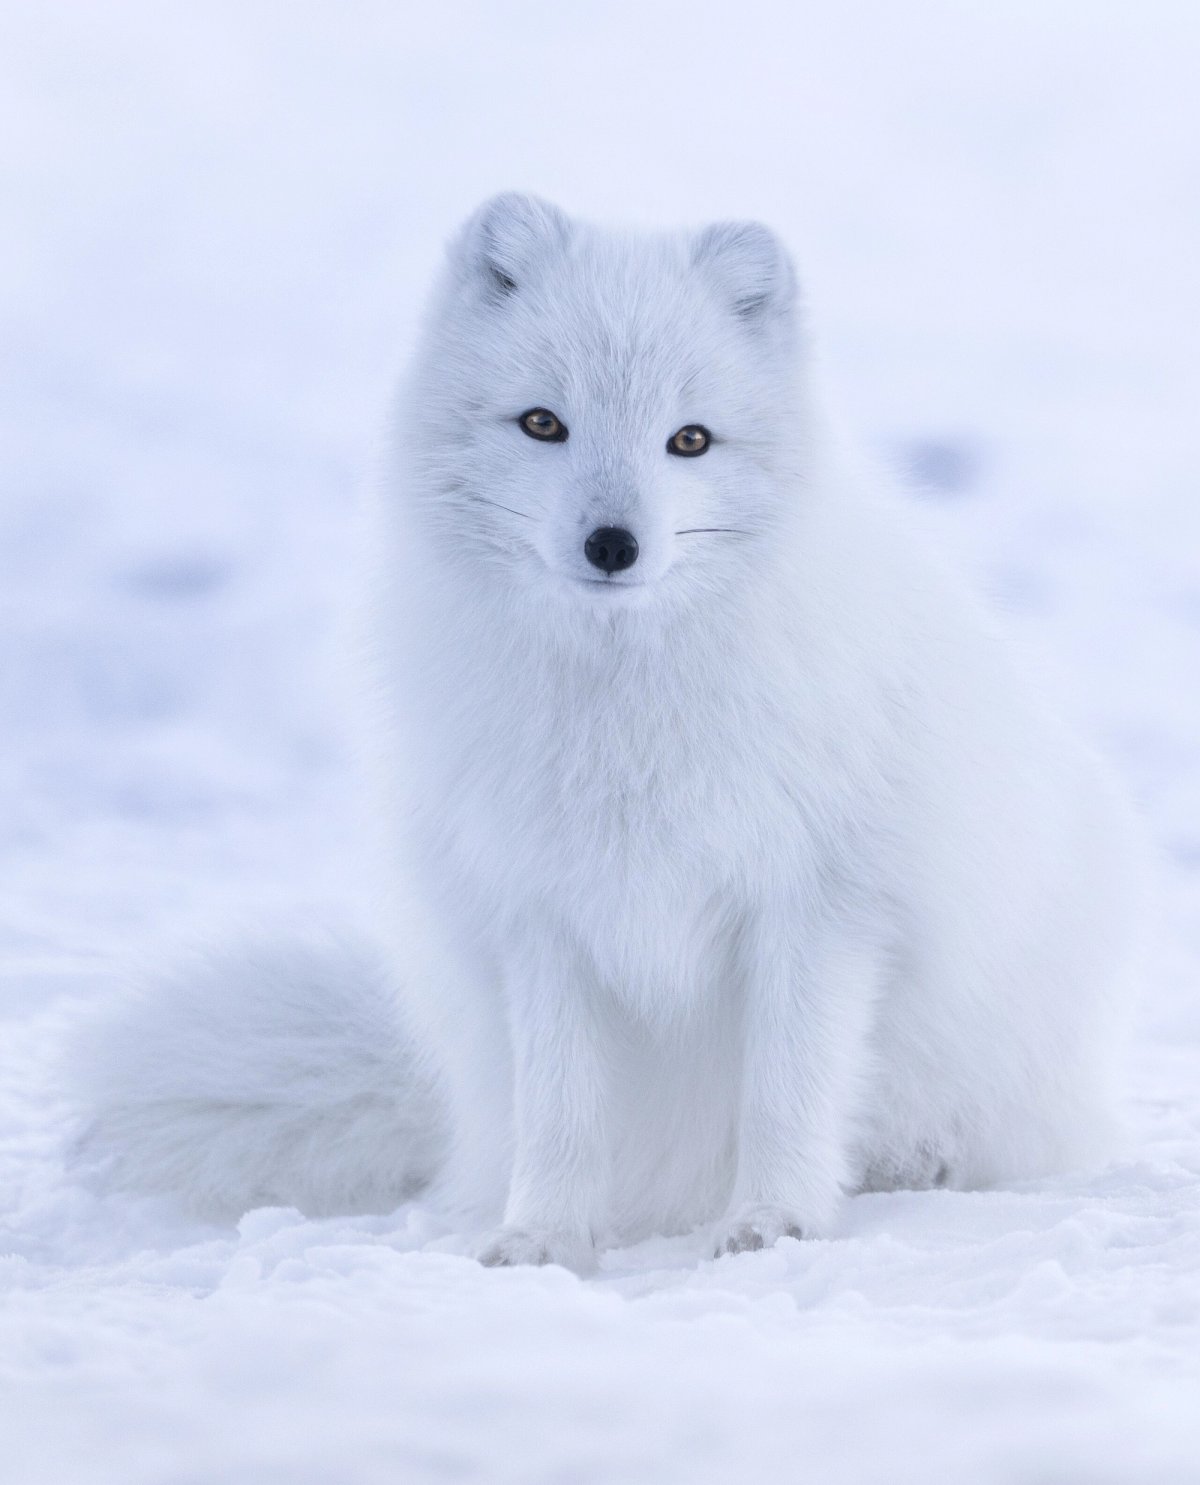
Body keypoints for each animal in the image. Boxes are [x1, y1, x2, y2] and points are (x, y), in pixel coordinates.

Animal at [72, 194, 1140, 1270]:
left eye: (690, 440)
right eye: (544, 423)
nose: (613, 545)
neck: (624, 709)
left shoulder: (819, 904)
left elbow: (787, 1092)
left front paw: (774, 1222)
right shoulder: (540, 912)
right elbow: (561, 1111)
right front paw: (542, 1237)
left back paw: (916, 1162)